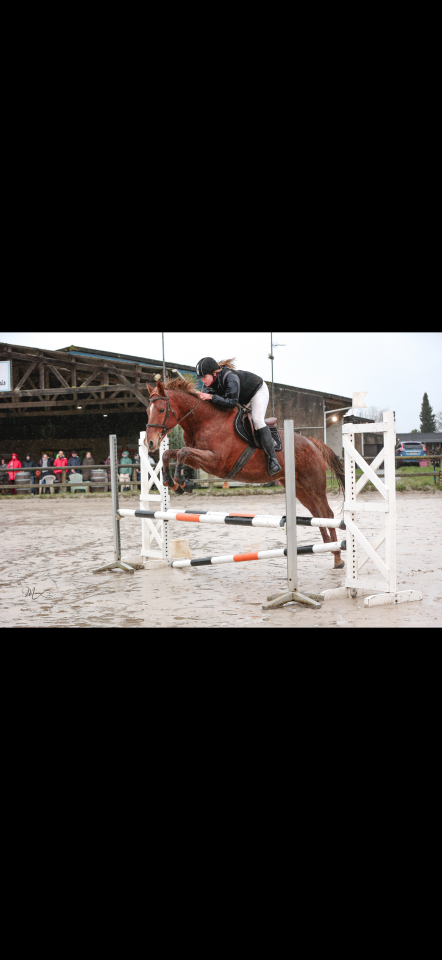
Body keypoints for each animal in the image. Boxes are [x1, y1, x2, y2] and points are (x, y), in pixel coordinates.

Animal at [145, 378, 346, 568]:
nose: (150, 443)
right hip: (300, 488)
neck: (205, 421)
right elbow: (170, 453)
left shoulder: (216, 462)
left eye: (161, 409)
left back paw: (337, 557)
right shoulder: (201, 460)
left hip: (313, 483)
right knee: (317, 514)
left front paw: (182, 481)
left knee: (327, 513)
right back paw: (329, 547)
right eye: (147, 410)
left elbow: (182, 452)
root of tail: (312, 442)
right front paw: (172, 482)